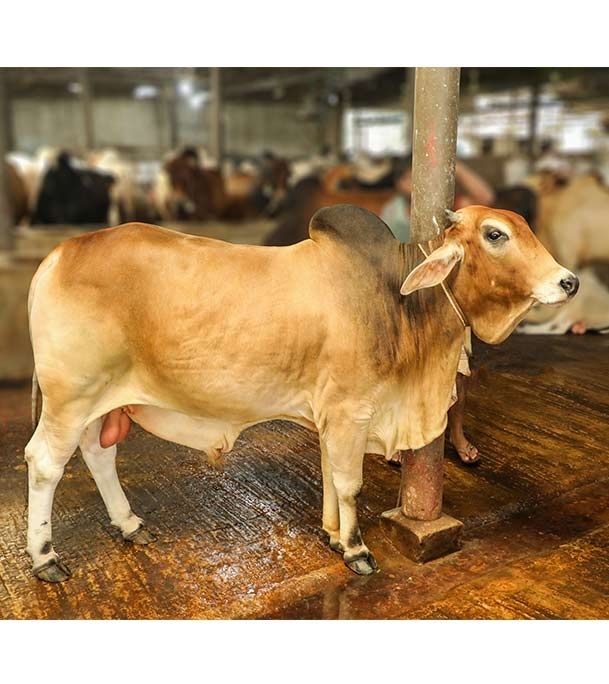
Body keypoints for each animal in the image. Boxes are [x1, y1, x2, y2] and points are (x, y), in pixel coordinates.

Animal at [24, 204, 578, 583]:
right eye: (495, 234)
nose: (569, 282)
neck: (396, 301)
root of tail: (57, 255)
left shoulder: (332, 416)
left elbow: (331, 475)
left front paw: (332, 534)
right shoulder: (351, 409)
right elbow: (350, 483)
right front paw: (356, 550)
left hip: (101, 401)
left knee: (98, 454)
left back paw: (128, 522)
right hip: (70, 397)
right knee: (45, 464)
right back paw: (45, 557)